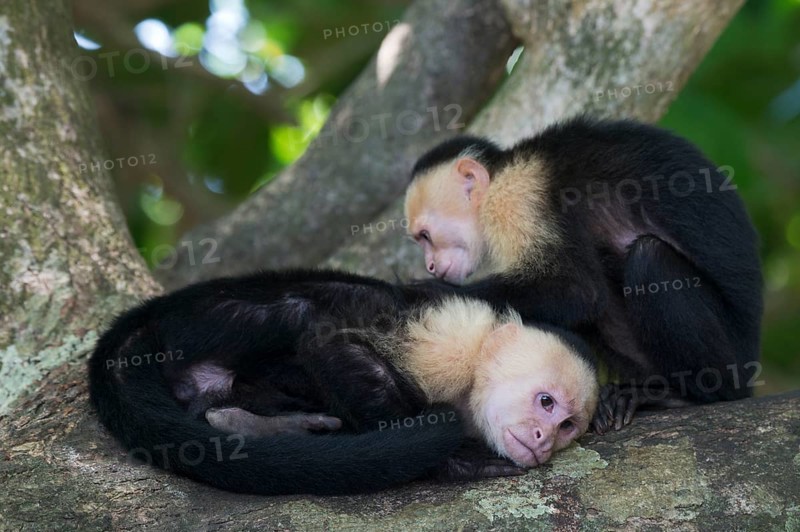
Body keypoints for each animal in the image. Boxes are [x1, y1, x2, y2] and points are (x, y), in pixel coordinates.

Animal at [88, 268, 598, 496]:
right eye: (546, 402)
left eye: (567, 426)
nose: (543, 437)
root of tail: (150, 314)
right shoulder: (448, 339)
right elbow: (326, 342)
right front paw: (455, 461)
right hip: (204, 324)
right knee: (303, 311)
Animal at [403, 116, 763, 433]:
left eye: (425, 236)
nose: (430, 265)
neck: (502, 173)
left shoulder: (517, 197)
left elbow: (578, 290)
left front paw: (420, 291)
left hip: (733, 355)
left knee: (649, 259)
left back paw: (689, 396)